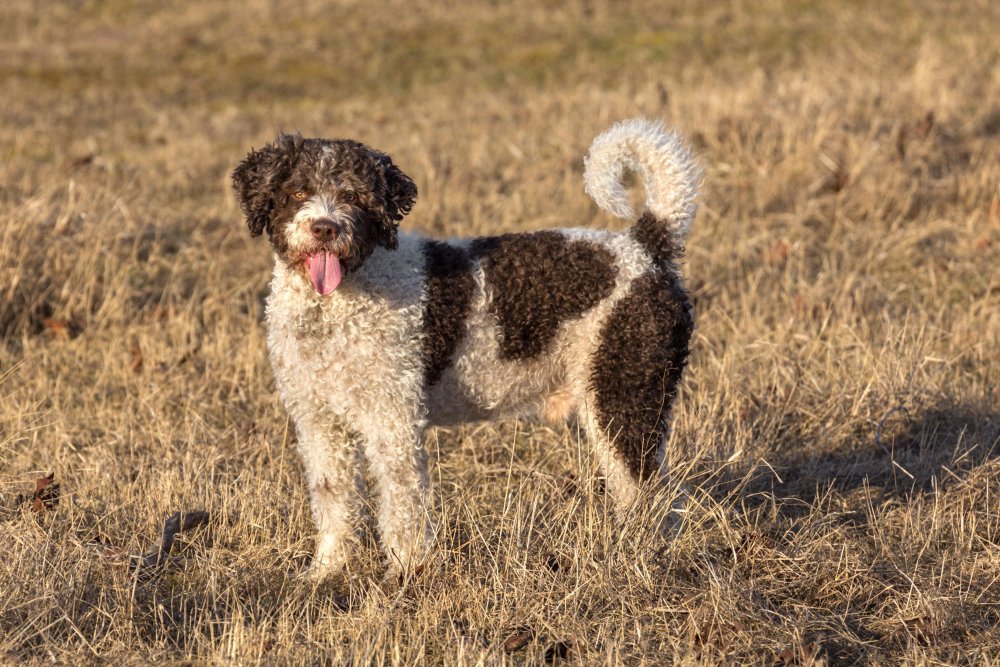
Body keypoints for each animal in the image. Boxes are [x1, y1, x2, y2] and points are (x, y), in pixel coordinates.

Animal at [231, 120, 700, 580]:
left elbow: (401, 503)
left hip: (624, 396)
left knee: (654, 492)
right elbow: (333, 500)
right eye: (297, 192)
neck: (338, 303)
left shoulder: (392, 422)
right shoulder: (319, 423)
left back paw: (643, 556)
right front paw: (327, 570)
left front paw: (406, 573)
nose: (325, 228)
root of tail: (644, 246)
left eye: (353, 195)